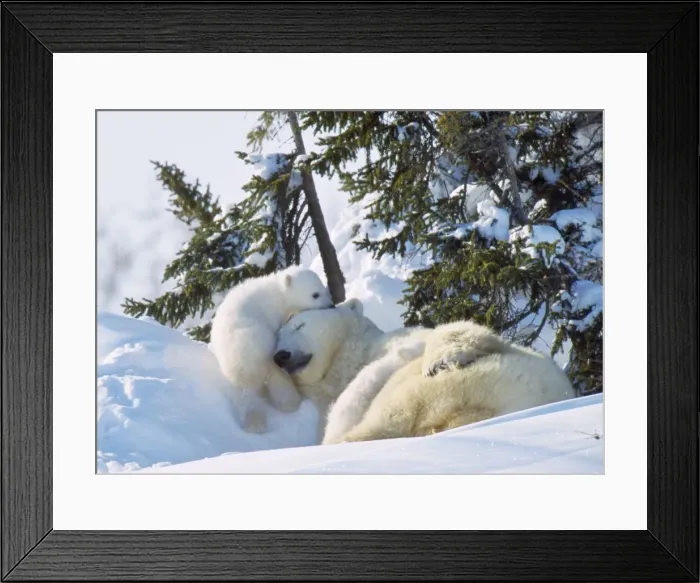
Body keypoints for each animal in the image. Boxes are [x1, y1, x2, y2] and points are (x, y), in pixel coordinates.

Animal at [209, 265, 333, 434]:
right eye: (315, 294)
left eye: (323, 289)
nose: (331, 305)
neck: (277, 292)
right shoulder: (272, 312)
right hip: (260, 345)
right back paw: (291, 402)